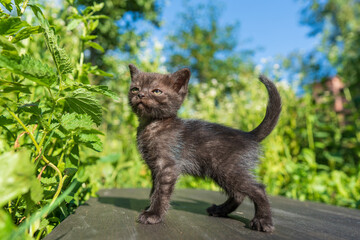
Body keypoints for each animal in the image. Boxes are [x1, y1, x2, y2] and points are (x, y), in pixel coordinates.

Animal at [128, 63, 282, 232]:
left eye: (156, 91)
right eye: (135, 88)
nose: (140, 94)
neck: (152, 125)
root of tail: (248, 135)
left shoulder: (168, 166)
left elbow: (161, 191)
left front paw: (153, 214)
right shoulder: (154, 167)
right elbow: (154, 189)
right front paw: (150, 207)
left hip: (227, 169)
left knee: (257, 188)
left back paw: (263, 220)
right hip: (221, 172)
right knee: (238, 194)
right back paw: (220, 210)